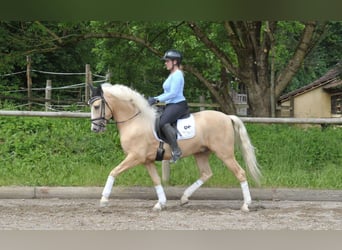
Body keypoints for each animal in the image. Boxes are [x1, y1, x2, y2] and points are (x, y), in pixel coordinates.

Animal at [88, 83, 262, 211]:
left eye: (96, 106)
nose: (95, 129)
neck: (135, 121)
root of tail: (227, 117)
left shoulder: (135, 157)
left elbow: (114, 172)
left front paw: (104, 199)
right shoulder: (147, 160)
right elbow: (156, 180)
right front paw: (160, 203)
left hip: (225, 153)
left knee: (240, 173)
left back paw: (246, 205)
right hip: (201, 153)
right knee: (206, 174)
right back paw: (184, 198)